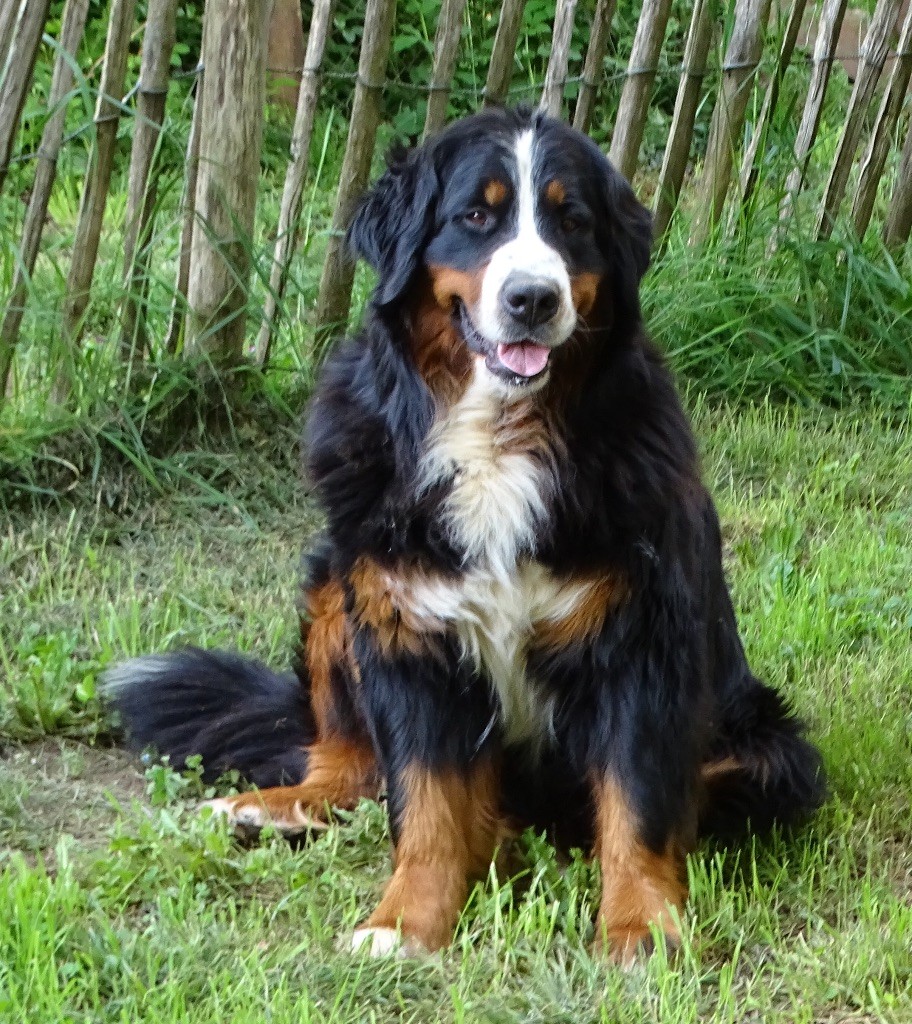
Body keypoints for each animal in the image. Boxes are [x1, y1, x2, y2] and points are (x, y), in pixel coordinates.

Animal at [109, 105, 827, 966]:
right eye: (476, 218)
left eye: (572, 222)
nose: (532, 298)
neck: (497, 434)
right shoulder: (408, 628)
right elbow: (425, 803)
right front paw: (404, 922)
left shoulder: (641, 638)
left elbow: (638, 801)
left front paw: (641, 927)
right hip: (337, 580)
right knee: (351, 765)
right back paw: (269, 806)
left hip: (772, 751)